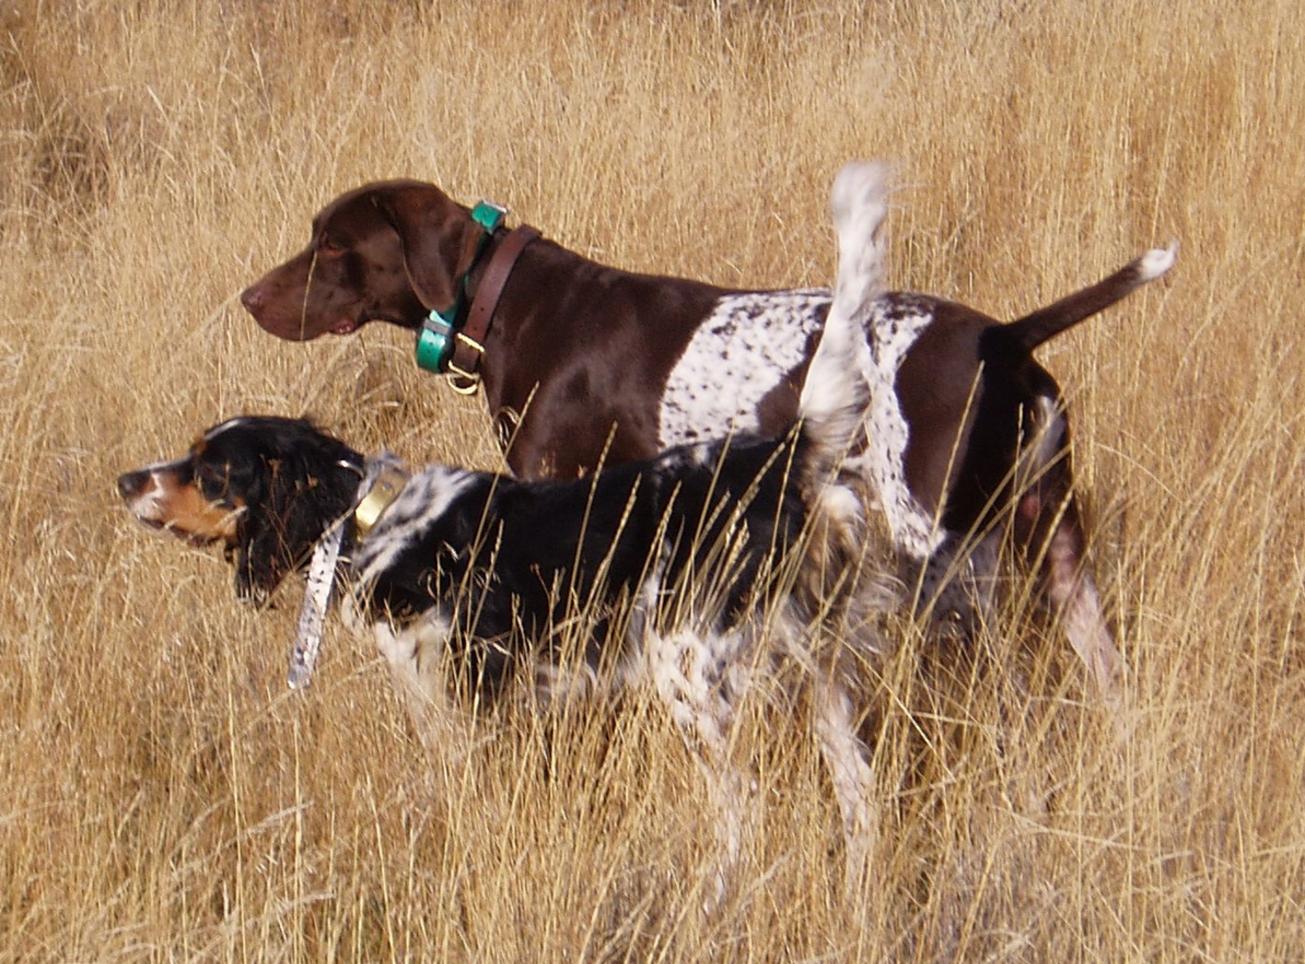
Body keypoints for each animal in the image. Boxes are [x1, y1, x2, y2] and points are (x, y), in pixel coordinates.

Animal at [240, 173, 1179, 699]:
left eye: (332, 245)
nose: (249, 297)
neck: (510, 303)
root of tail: (1006, 340)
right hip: (1060, 557)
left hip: (941, 556)